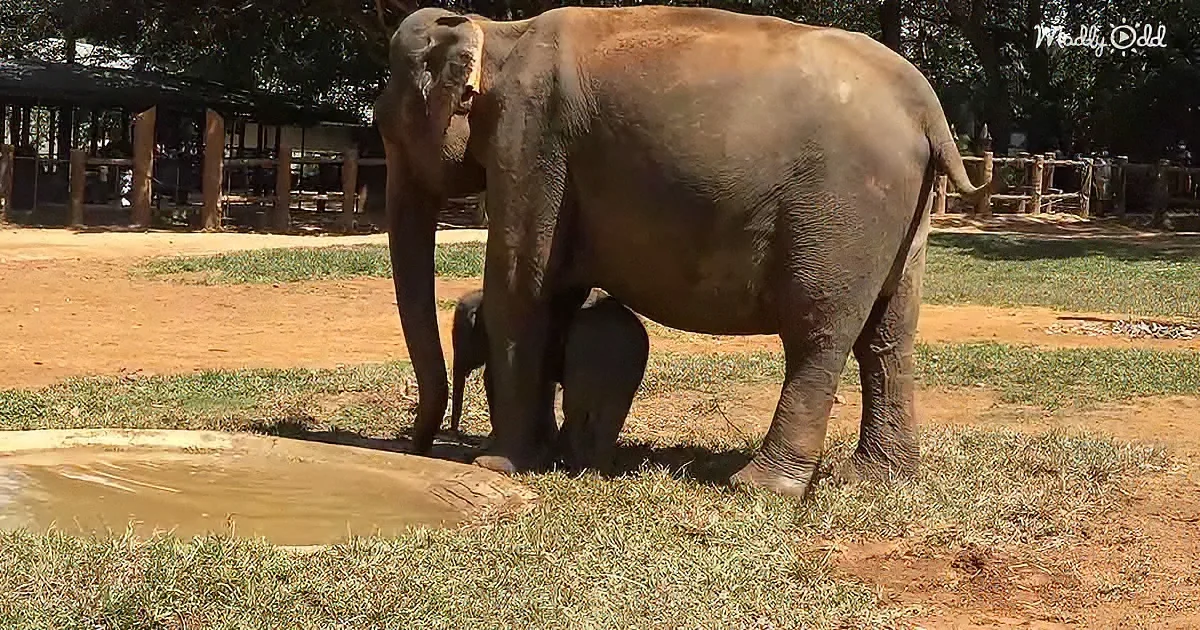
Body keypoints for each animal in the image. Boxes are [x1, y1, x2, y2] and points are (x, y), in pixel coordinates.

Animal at [449, 287, 649, 475]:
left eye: (460, 335)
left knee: (576, 407)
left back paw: (574, 463)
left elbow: (492, 381)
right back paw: (594, 469)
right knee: (611, 414)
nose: (456, 436)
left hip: (585, 357)